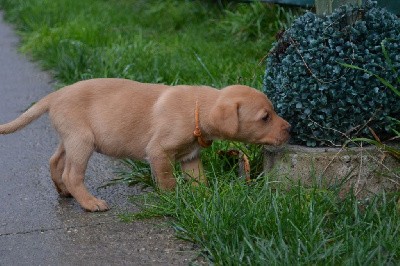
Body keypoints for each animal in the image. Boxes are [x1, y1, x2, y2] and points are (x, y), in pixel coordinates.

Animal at [0, 78, 290, 211]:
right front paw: (174, 200)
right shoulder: (159, 153)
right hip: (82, 141)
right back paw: (90, 202)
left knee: (55, 162)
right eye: (265, 117)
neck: (198, 109)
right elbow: (167, 181)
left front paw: (205, 198)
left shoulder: (190, 158)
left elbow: (200, 180)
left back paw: (63, 191)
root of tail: (56, 95)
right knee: (72, 174)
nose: (290, 129)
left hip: (69, 139)